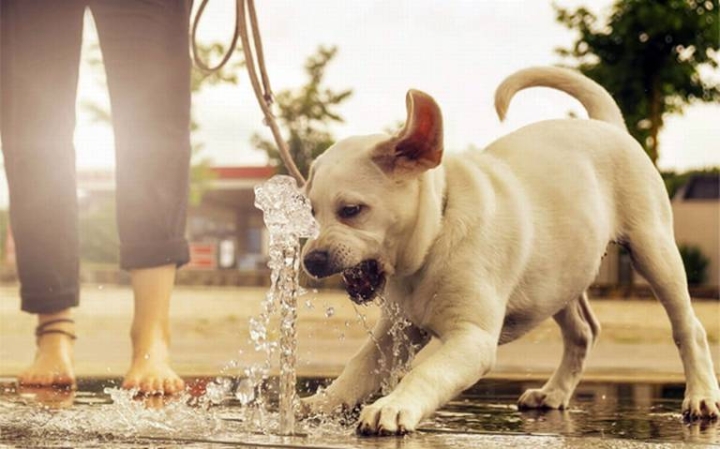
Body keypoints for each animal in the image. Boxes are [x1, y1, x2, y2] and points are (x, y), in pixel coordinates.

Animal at [298, 66, 720, 434]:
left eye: (352, 210)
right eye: (311, 212)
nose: (311, 260)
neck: (436, 237)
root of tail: (607, 124)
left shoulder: (472, 340)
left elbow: (426, 372)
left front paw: (393, 407)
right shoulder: (395, 333)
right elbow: (358, 368)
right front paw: (322, 404)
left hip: (654, 251)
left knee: (688, 328)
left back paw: (700, 396)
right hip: (560, 277)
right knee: (583, 332)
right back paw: (554, 393)